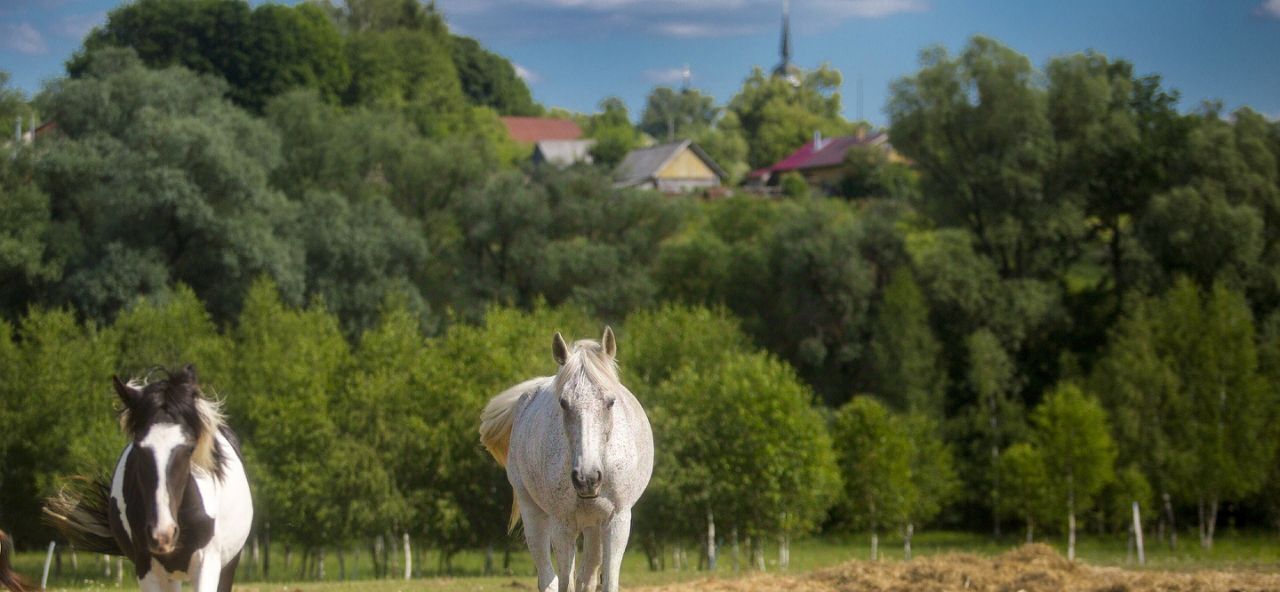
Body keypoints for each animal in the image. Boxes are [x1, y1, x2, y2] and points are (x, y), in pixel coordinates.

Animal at [45, 366, 249, 592]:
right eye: (138, 447)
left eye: (189, 448)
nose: (163, 534)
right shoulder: (146, 567)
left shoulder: (207, 563)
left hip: (228, 564)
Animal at [483, 328, 655, 592]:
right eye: (563, 403)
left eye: (610, 402)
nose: (587, 478)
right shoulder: (562, 525)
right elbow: (565, 583)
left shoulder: (617, 521)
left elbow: (605, 582)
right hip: (534, 514)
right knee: (549, 578)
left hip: (593, 525)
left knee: (587, 575)